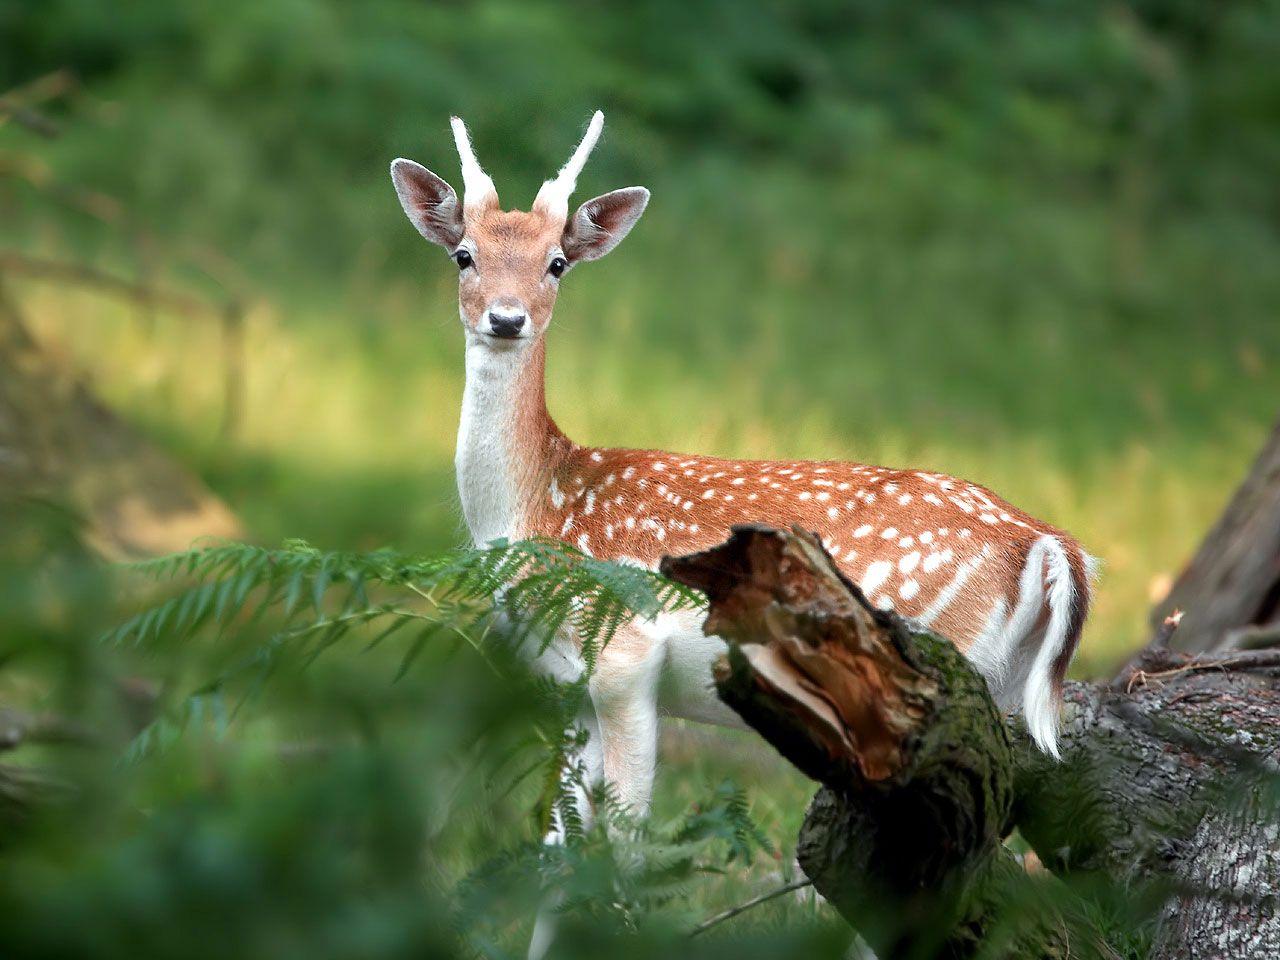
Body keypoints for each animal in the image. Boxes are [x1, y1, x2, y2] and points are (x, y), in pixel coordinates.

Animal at [389, 111, 1095, 830]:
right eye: (463, 254)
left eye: (556, 263)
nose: (506, 319)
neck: (537, 505)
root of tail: (1050, 544)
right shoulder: (566, 683)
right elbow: (561, 836)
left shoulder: (624, 657)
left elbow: (624, 832)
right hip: (1002, 687)